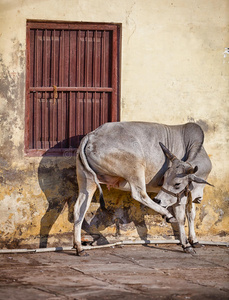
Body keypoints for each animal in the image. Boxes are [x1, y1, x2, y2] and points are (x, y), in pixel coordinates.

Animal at [74, 122, 213, 255]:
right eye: (165, 178)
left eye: (177, 183)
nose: (158, 200)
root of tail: (91, 135)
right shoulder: (179, 196)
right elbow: (181, 218)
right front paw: (186, 245)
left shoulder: (188, 193)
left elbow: (191, 214)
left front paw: (194, 240)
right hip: (136, 167)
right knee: (140, 194)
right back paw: (167, 214)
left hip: (87, 180)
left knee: (79, 209)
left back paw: (79, 247)